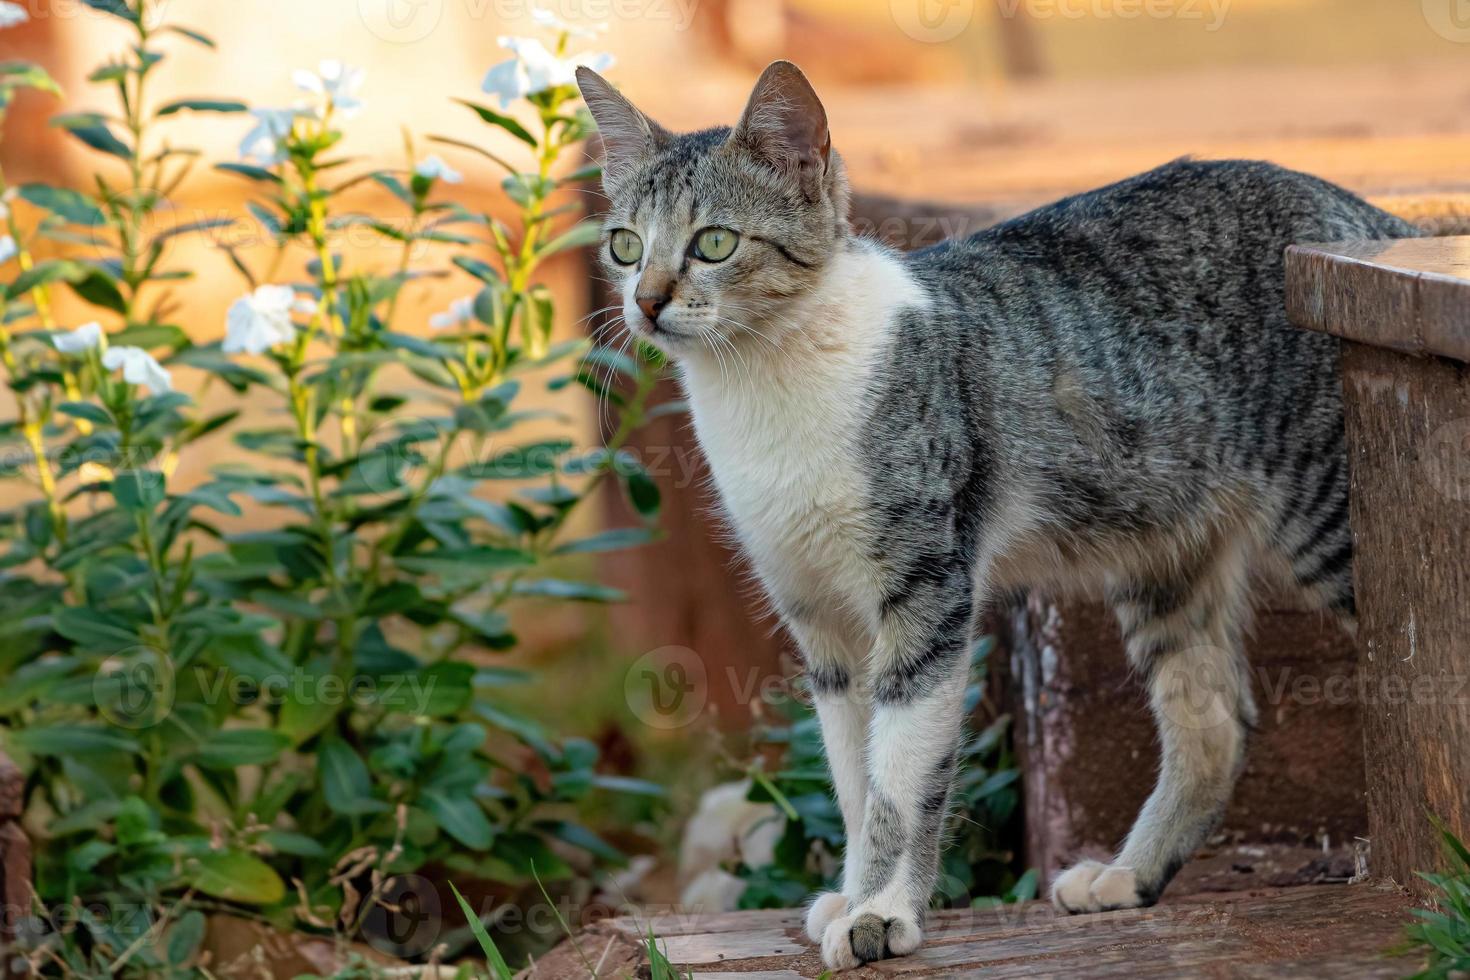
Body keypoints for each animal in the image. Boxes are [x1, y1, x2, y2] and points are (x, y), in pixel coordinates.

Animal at [576, 63, 1422, 975]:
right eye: (624, 245)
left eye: (715, 244)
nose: (646, 302)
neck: (761, 392)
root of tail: (1379, 221)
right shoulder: (821, 622)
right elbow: (853, 774)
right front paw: (852, 891)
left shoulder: (927, 588)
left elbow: (901, 778)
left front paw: (880, 914)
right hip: (1166, 552)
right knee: (1214, 722)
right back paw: (1128, 876)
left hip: (1329, 511)